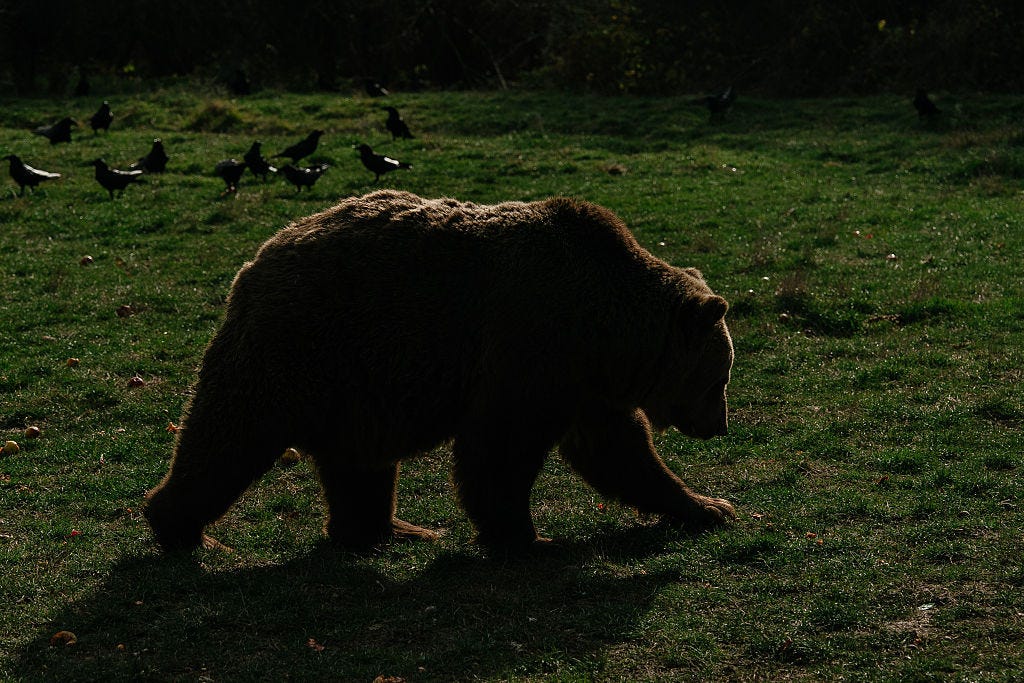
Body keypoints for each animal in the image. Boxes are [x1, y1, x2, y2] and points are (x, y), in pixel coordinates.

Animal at [144, 190, 736, 555]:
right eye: (720, 379)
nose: (720, 425)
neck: (608, 331)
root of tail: (258, 257)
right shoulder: (532, 349)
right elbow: (500, 450)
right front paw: (527, 539)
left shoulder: (584, 384)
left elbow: (620, 454)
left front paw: (708, 506)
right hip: (302, 348)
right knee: (228, 437)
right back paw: (183, 529)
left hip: (356, 384)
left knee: (357, 463)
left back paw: (391, 529)